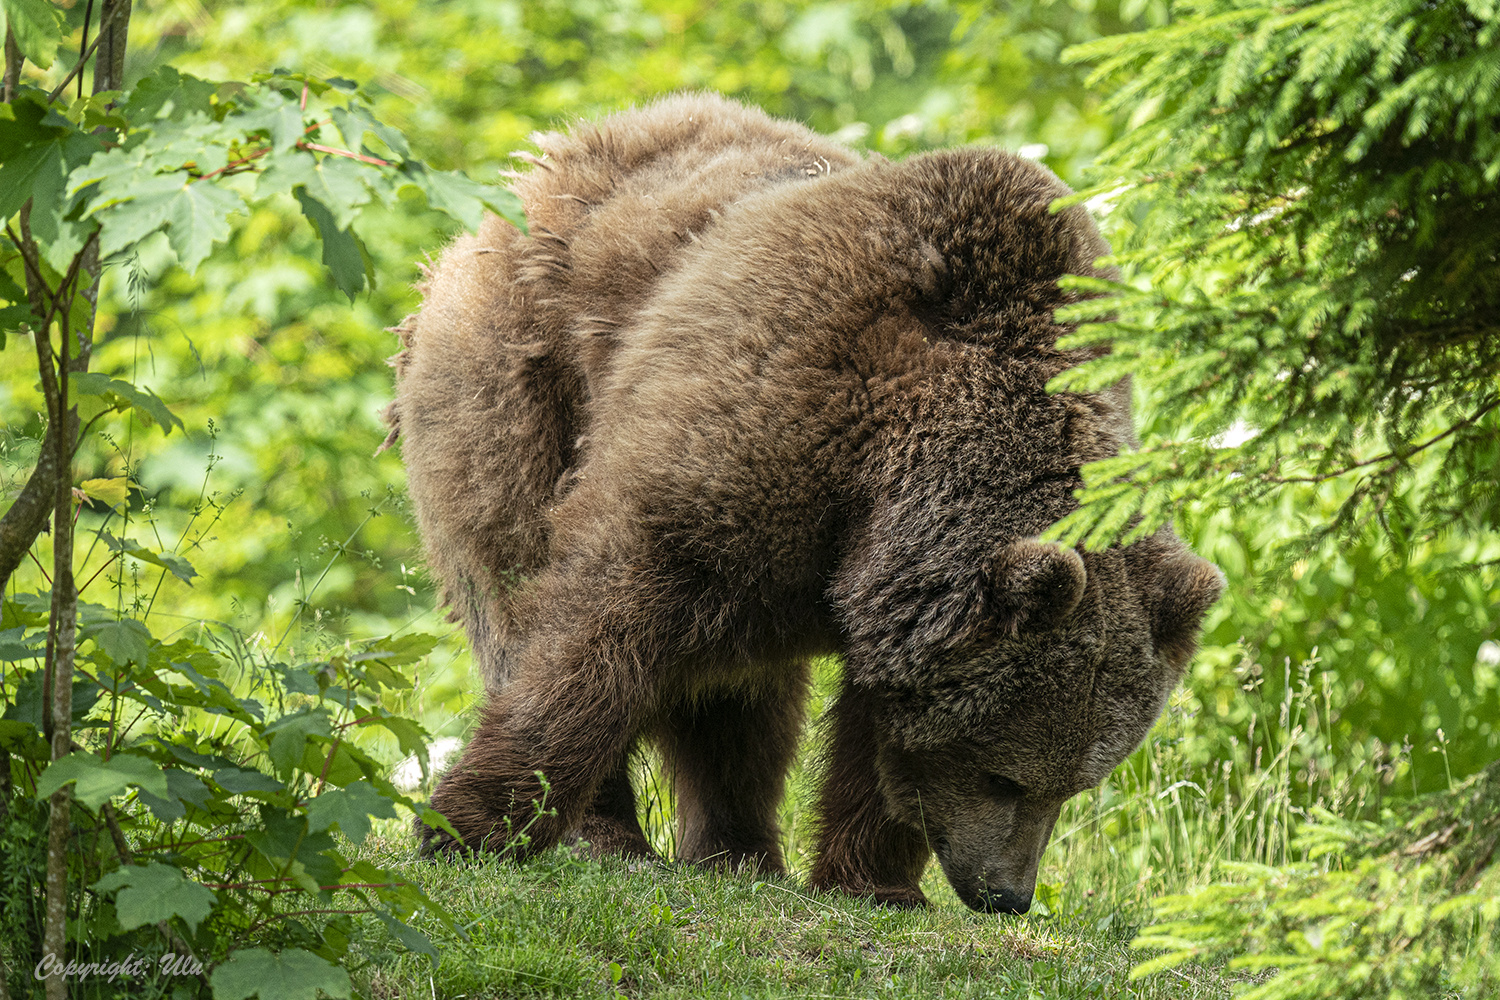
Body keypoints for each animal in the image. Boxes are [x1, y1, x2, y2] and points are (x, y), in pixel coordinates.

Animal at [387, 93, 1218, 917]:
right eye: (1005, 776)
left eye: (1075, 786)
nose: (1007, 894)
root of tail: (550, 154)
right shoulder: (764, 424)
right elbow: (598, 626)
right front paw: (472, 825)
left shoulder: (881, 582)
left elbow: (878, 732)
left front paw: (875, 880)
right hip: (517, 380)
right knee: (515, 573)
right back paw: (615, 833)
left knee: (742, 696)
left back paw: (738, 849)